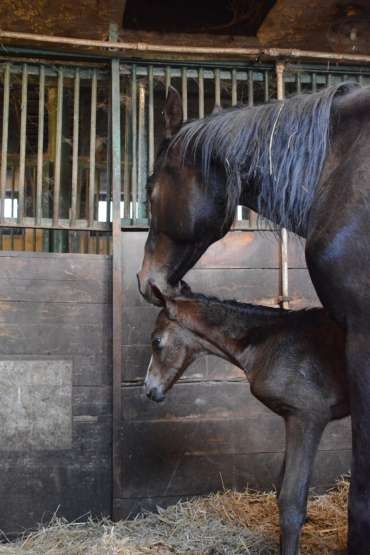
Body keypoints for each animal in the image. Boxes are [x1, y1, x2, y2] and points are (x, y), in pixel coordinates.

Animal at [145, 286, 350, 555]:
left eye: (156, 341)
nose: (149, 390)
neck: (268, 344)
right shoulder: (292, 418)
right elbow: (280, 489)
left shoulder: (307, 417)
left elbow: (292, 502)